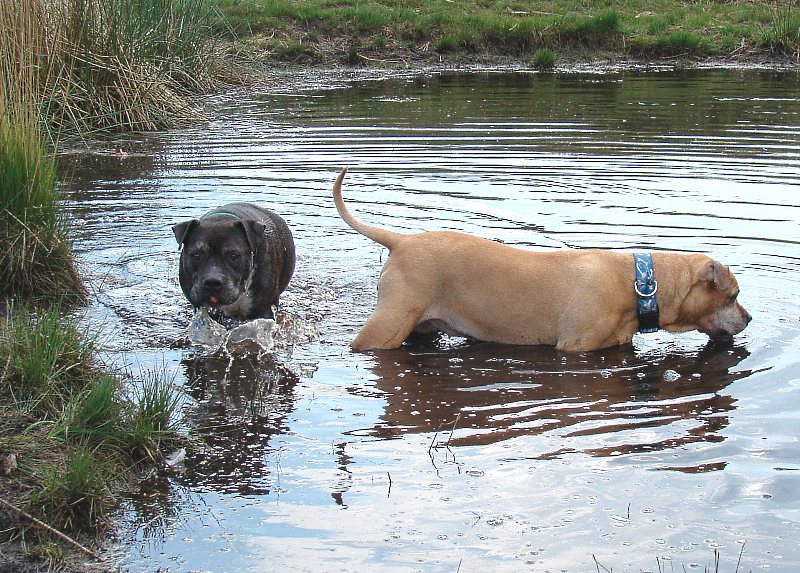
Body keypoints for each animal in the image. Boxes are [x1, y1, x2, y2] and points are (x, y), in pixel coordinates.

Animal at [332, 168, 752, 350]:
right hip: (387, 326)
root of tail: (401, 241)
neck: (639, 285)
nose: (748, 319)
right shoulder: (574, 348)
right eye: (733, 296)